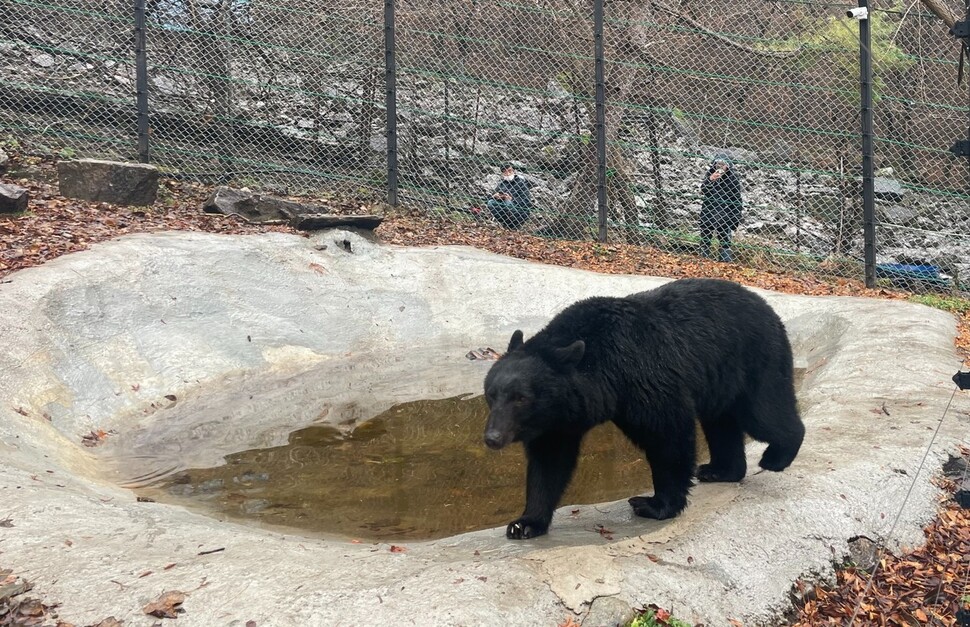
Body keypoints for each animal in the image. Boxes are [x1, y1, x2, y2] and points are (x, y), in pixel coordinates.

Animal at [480, 280, 804, 540]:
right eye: (491, 394)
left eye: (521, 398)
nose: (492, 437)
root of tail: (768, 307)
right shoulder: (558, 418)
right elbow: (549, 462)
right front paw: (525, 523)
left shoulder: (641, 376)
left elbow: (668, 434)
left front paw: (654, 504)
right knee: (721, 423)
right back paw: (720, 469)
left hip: (754, 360)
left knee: (765, 413)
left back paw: (776, 456)